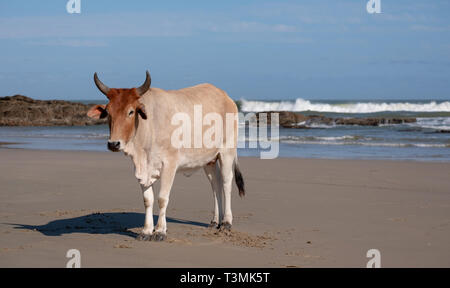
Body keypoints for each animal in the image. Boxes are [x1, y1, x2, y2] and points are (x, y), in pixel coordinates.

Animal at [85, 71, 244, 241]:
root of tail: (226, 97)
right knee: (216, 185)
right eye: (108, 113)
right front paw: (146, 230)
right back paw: (215, 221)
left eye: (131, 111)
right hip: (209, 161)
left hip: (227, 152)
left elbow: (162, 198)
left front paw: (160, 231)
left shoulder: (170, 165)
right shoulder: (143, 169)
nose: (113, 144)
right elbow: (148, 199)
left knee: (226, 183)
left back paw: (226, 222)